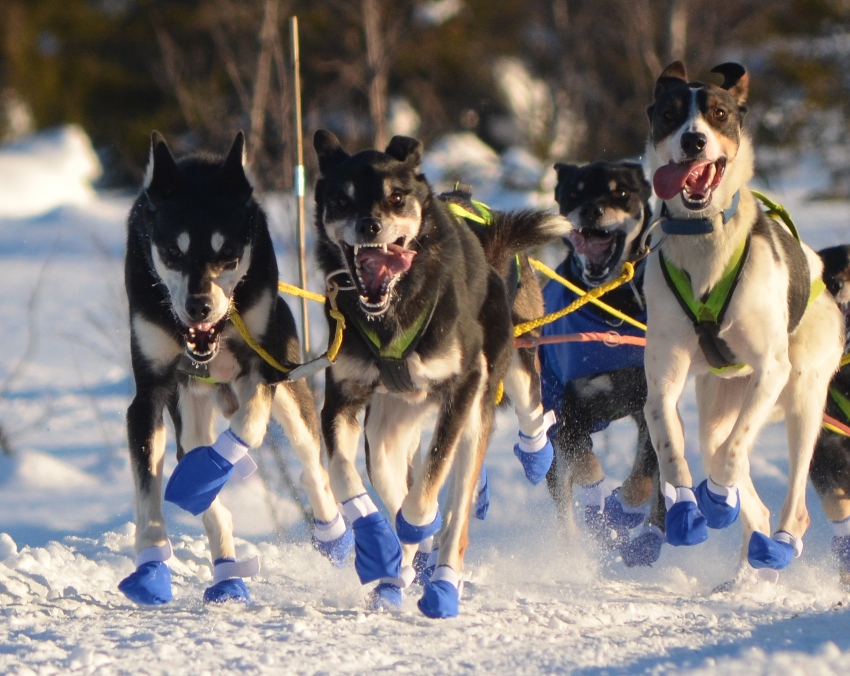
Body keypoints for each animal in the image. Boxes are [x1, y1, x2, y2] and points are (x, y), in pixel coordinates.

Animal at [118, 132, 349, 606]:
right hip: (189, 406)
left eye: (227, 252)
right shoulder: (149, 395)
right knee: (205, 487)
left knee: (312, 469)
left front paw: (214, 466)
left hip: (289, 388)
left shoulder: (262, 369)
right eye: (173, 251)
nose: (198, 306)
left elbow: (248, 427)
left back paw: (333, 534)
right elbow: (149, 491)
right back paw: (227, 574)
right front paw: (150, 566)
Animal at [312, 130, 569, 617]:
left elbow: (428, 490)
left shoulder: (463, 384)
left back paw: (444, 579)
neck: (392, 312)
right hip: (389, 427)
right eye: (342, 199)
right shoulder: (341, 399)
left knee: (463, 500)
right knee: (397, 486)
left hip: (491, 387)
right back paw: (396, 573)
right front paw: (377, 546)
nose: (368, 227)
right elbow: (340, 472)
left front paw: (418, 529)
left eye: (396, 198)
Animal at [538, 160, 665, 566]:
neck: (611, 308)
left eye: (620, 192)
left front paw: (624, 510)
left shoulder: (650, 405)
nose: (591, 210)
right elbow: (585, 464)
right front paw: (599, 508)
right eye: (574, 193)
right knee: (563, 490)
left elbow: (645, 476)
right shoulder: (567, 411)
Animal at [642, 61, 843, 578]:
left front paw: (715, 499)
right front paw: (687, 510)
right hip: (719, 404)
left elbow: (732, 457)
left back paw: (779, 543)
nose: (694, 140)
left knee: (790, 499)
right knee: (728, 461)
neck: (704, 237)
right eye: (670, 113)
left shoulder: (771, 368)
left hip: (804, 399)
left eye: (718, 113)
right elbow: (669, 442)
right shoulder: (663, 378)